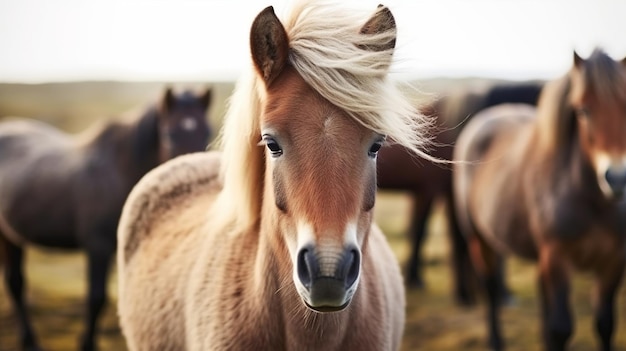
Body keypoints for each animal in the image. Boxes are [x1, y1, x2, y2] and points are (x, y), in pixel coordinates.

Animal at [0, 86, 212, 351]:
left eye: (208, 131)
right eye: (169, 134)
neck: (119, 170)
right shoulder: (98, 247)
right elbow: (96, 298)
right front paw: (87, 344)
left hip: (13, 236)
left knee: (15, 283)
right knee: (15, 284)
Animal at [450, 49, 624, 351]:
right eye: (583, 111)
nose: (617, 178)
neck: (594, 203)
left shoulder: (613, 262)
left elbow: (605, 325)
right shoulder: (556, 258)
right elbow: (561, 328)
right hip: (479, 239)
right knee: (491, 289)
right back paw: (495, 340)